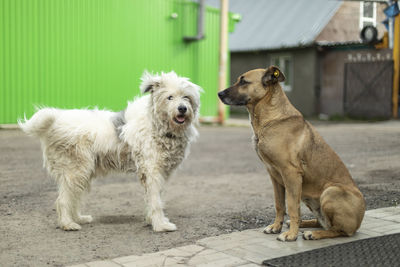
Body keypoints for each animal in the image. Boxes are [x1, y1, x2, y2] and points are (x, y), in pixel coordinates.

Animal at [18, 71, 202, 232]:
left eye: (186, 97)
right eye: (169, 97)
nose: (182, 108)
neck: (156, 124)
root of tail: (56, 120)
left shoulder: (159, 173)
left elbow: (155, 199)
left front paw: (154, 220)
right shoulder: (152, 171)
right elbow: (156, 201)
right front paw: (161, 226)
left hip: (82, 172)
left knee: (74, 197)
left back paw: (79, 218)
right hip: (76, 170)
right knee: (63, 200)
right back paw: (68, 224)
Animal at [219, 67, 366, 243]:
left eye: (243, 82)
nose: (219, 94)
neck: (272, 118)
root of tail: (359, 220)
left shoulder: (291, 174)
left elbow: (292, 206)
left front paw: (291, 235)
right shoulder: (274, 176)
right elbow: (279, 205)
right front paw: (276, 227)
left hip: (330, 192)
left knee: (338, 230)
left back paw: (313, 234)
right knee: (322, 222)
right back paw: (304, 225)